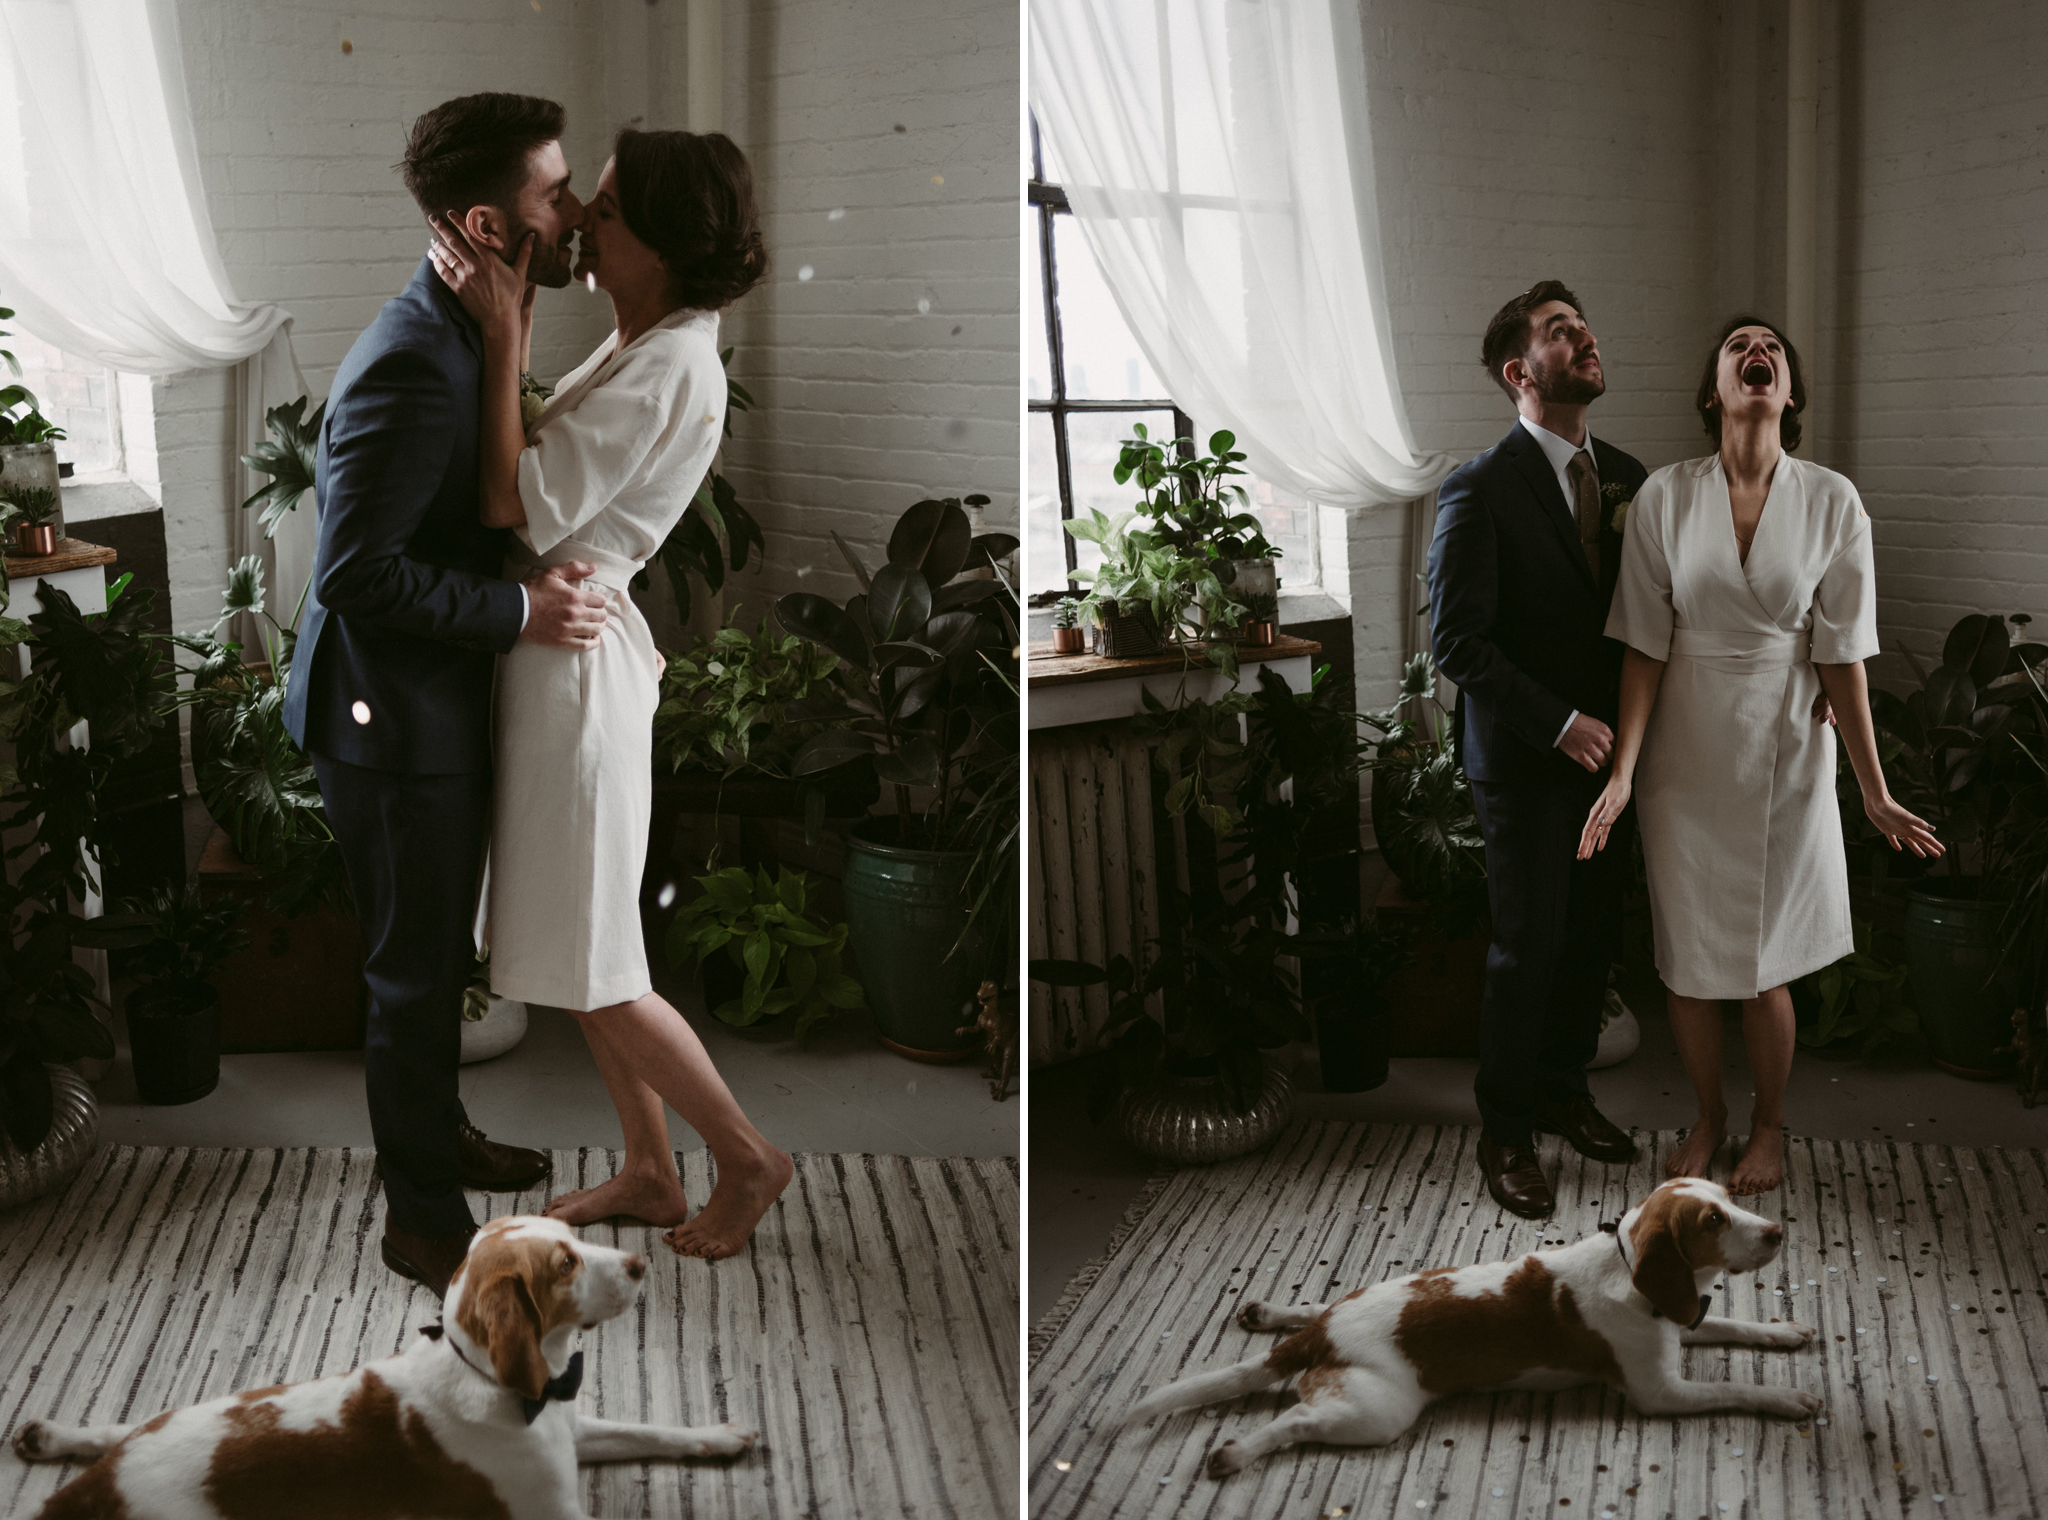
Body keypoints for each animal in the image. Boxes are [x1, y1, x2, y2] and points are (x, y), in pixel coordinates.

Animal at [12, 1220, 761, 1515]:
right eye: (565, 1264)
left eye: (574, 1237)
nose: (640, 1263)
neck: (497, 1382)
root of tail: (99, 1489)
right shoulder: (550, 1510)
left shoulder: (572, 1429)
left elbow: (650, 1429)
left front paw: (721, 1435)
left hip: (163, 1418)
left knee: (112, 1428)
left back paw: (49, 1435)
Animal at [1138, 1179, 1826, 1474]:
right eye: (1712, 1220)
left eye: (1730, 1197)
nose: (1777, 1231)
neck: (1628, 1269)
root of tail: (1324, 1336)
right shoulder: (1662, 1394)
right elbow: (1734, 1388)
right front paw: (1788, 1397)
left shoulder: (1682, 1319)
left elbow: (1730, 1322)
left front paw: (1782, 1332)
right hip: (1375, 1411)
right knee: (1294, 1423)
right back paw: (1234, 1451)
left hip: (1352, 1314)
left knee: (1310, 1317)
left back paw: (1272, 1312)